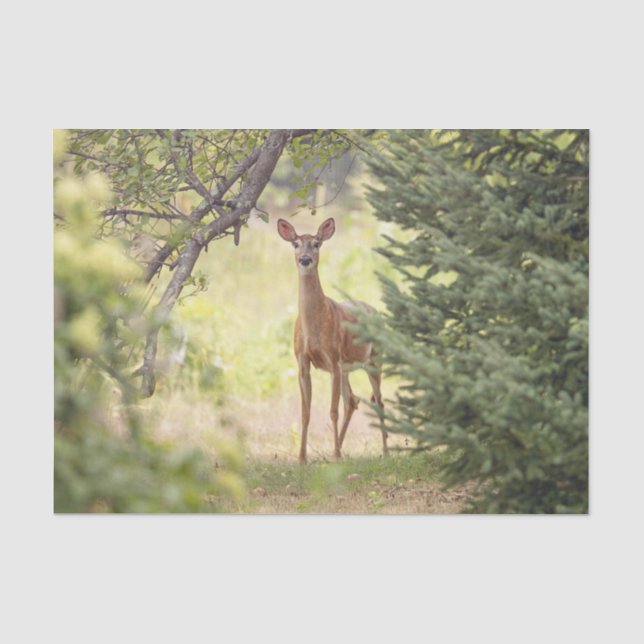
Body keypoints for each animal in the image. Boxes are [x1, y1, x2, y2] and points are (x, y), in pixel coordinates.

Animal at [277, 216, 388, 463]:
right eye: (295, 243)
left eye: (317, 243)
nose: (305, 259)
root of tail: (375, 311)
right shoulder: (302, 361)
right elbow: (305, 412)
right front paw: (302, 458)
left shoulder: (334, 358)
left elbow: (332, 410)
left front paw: (335, 455)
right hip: (347, 368)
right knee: (353, 400)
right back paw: (338, 449)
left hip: (374, 360)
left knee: (378, 401)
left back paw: (384, 451)